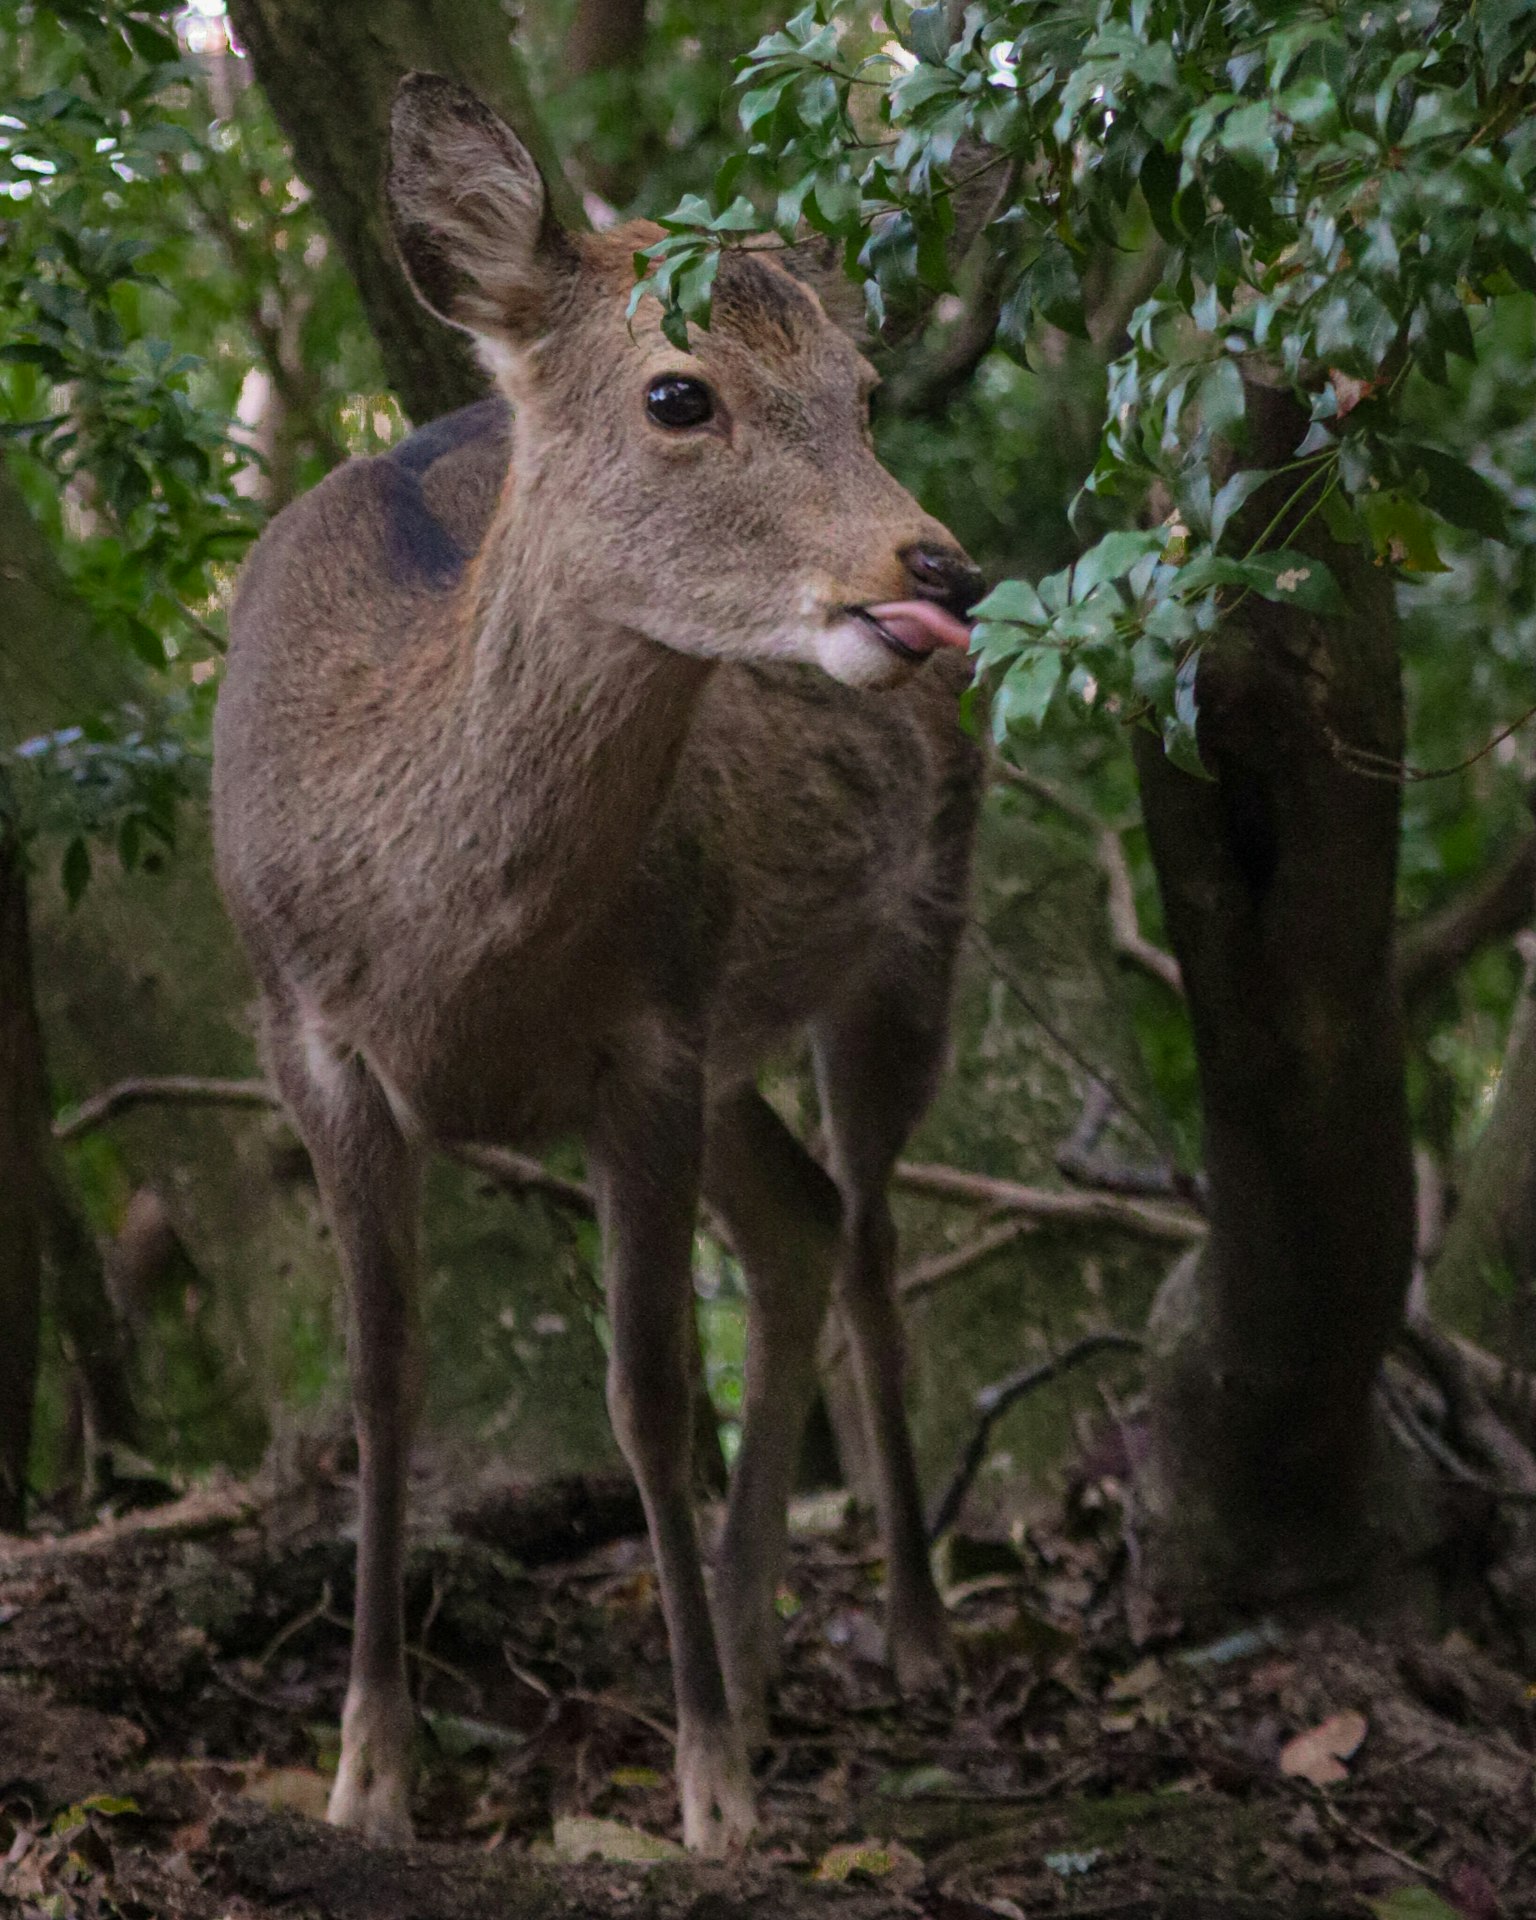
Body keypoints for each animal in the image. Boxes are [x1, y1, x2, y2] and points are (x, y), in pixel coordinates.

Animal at [212, 73, 985, 1856]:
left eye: (858, 391)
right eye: (678, 390)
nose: (939, 570)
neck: (448, 951)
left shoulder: (653, 1034)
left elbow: (650, 1400)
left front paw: (707, 1789)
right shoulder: (305, 1036)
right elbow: (385, 1388)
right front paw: (367, 1773)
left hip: (908, 937)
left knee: (870, 1231)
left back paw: (908, 1634)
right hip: (740, 1031)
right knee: (800, 1220)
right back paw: (762, 1650)